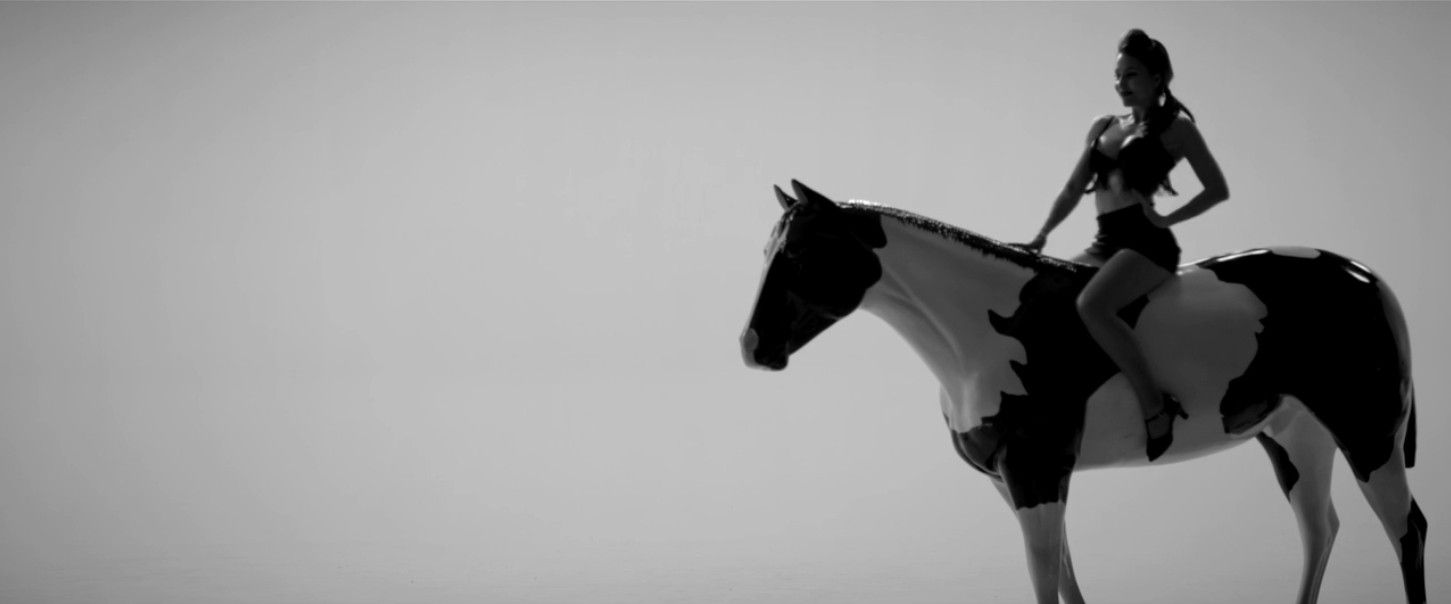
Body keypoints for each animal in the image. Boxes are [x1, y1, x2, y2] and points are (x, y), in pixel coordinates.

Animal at [740, 180, 1426, 604]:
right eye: (768, 250)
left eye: (800, 254)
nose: (751, 348)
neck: (983, 333)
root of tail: (1366, 278)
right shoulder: (1015, 483)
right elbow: (1066, 578)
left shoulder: (1037, 473)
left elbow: (1047, 582)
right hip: (1296, 439)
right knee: (1320, 528)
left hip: (1368, 435)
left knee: (1405, 528)